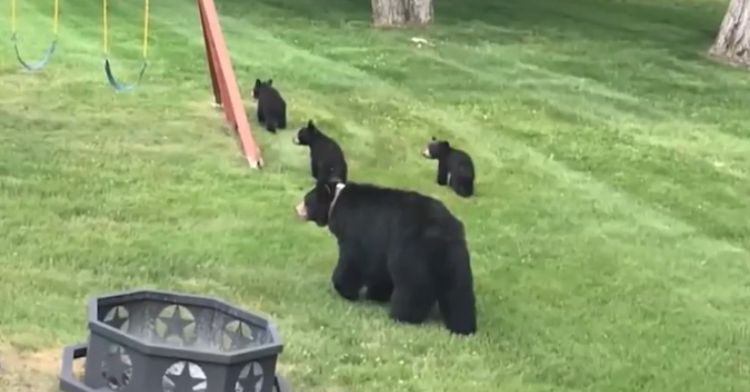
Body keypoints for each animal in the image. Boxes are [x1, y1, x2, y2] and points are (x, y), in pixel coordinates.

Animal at [294, 179, 476, 336]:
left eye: (306, 199)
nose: (296, 209)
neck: (337, 202)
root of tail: (442, 230)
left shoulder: (358, 232)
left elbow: (352, 261)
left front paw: (345, 290)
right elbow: (380, 272)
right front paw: (377, 295)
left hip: (412, 249)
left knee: (413, 285)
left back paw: (403, 316)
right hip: (455, 257)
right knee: (458, 291)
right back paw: (463, 327)